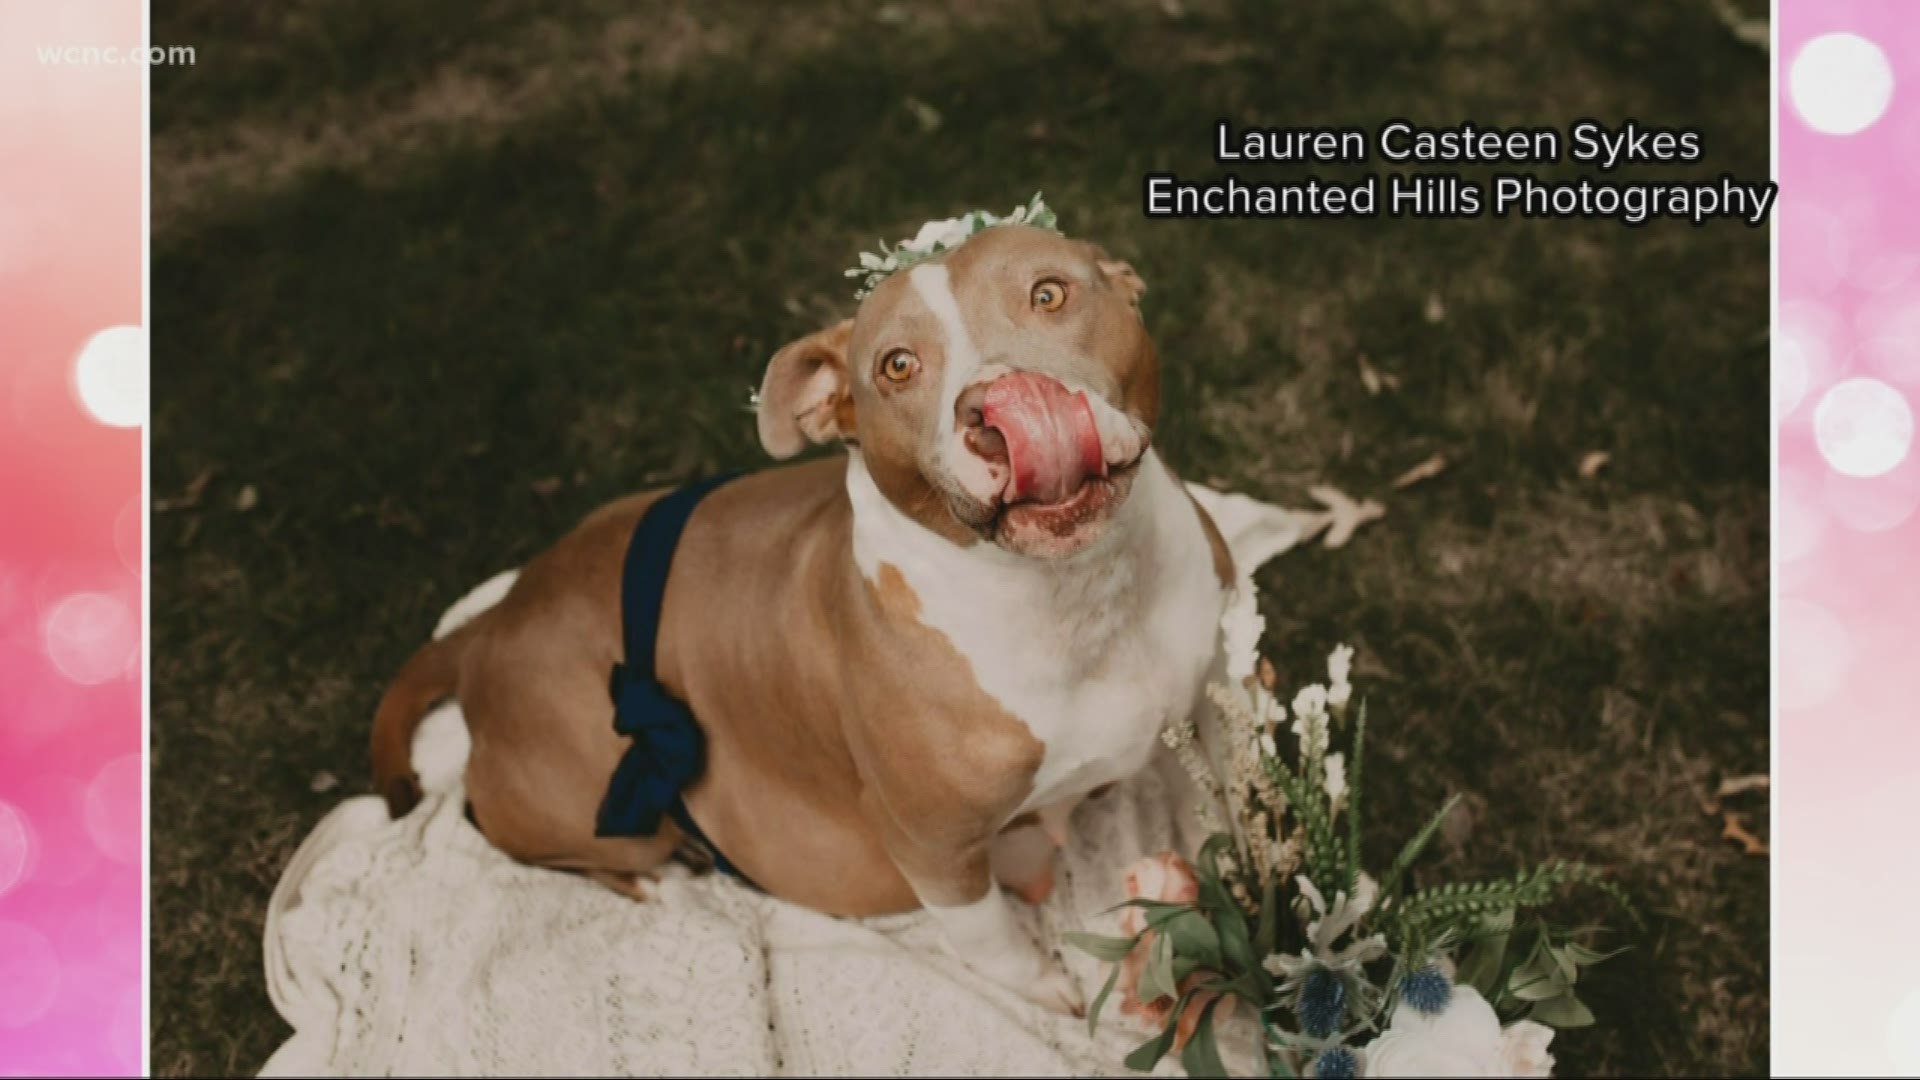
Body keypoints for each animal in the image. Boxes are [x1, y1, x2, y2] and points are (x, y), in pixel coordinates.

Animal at [368, 219, 1236, 1006]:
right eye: (897, 366)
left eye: (1049, 294)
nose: (1002, 405)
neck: (1081, 596)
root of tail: (492, 623)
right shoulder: (930, 847)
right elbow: (989, 935)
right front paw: (1046, 988)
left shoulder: (1221, 698)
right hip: (587, 797)